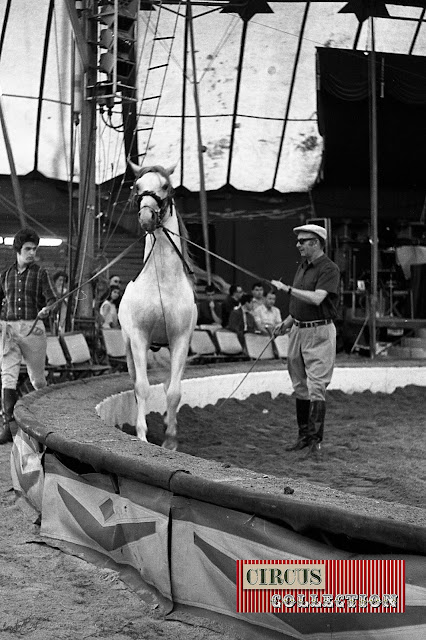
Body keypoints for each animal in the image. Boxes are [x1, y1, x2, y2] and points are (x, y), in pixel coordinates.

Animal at [118, 164, 198, 450]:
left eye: (165, 186)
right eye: (138, 186)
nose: (145, 218)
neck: (161, 281)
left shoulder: (180, 339)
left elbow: (174, 391)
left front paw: (170, 440)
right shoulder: (139, 337)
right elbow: (141, 387)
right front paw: (141, 436)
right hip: (129, 346)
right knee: (135, 382)